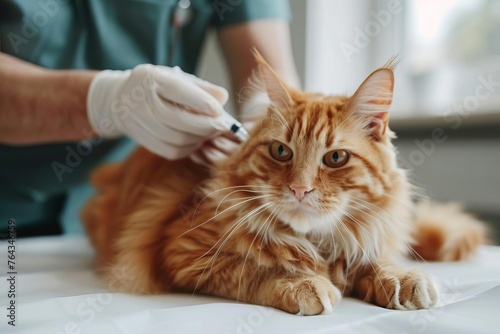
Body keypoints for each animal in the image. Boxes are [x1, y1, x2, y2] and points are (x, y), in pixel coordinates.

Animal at [82, 51, 484, 314]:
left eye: (335, 158)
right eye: (280, 151)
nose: (300, 189)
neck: (318, 241)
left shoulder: (366, 237)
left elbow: (375, 259)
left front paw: (399, 278)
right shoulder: (182, 252)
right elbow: (259, 269)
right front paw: (302, 282)